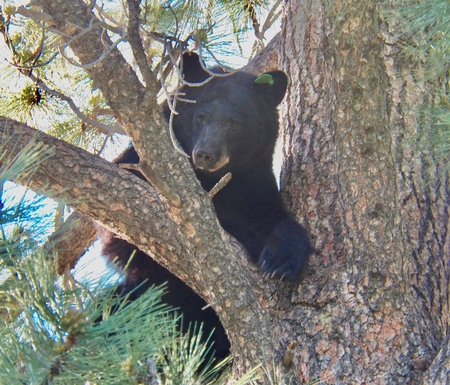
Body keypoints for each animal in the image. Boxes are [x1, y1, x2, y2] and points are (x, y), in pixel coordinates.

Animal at [102, 54, 312, 360]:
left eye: (235, 123)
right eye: (200, 117)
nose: (205, 154)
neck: (210, 180)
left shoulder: (255, 186)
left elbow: (274, 219)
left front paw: (280, 260)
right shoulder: (136, 166)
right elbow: (121, 237)